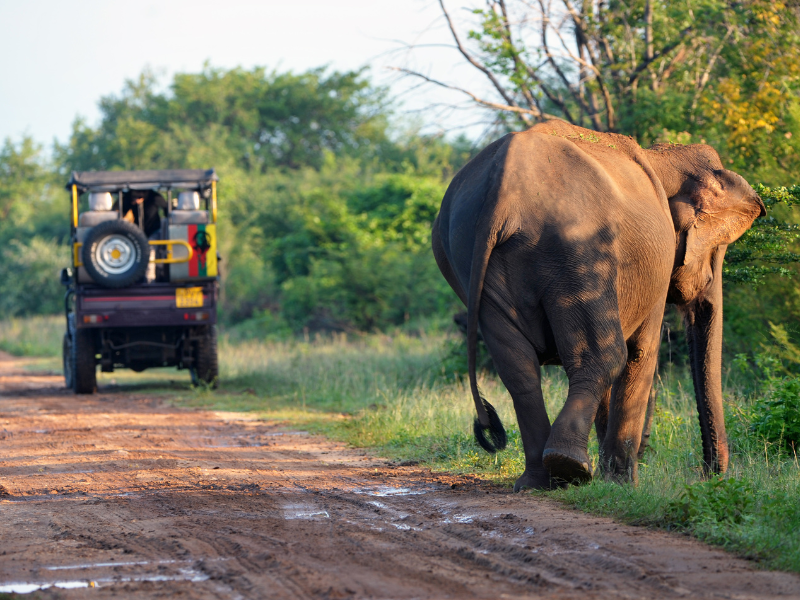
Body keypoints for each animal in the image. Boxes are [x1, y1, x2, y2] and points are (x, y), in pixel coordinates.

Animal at [432, 119, 764, 490]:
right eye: (717, 248)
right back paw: (569, 467)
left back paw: (539, 482)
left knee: (519, 368)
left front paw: (610, 481)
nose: (707, 475)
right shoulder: (656, 263)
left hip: (467, 254)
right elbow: (641, 352)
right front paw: (622, 485)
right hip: (576, 246)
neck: (661, 156)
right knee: (606, 355)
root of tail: (501, 191)